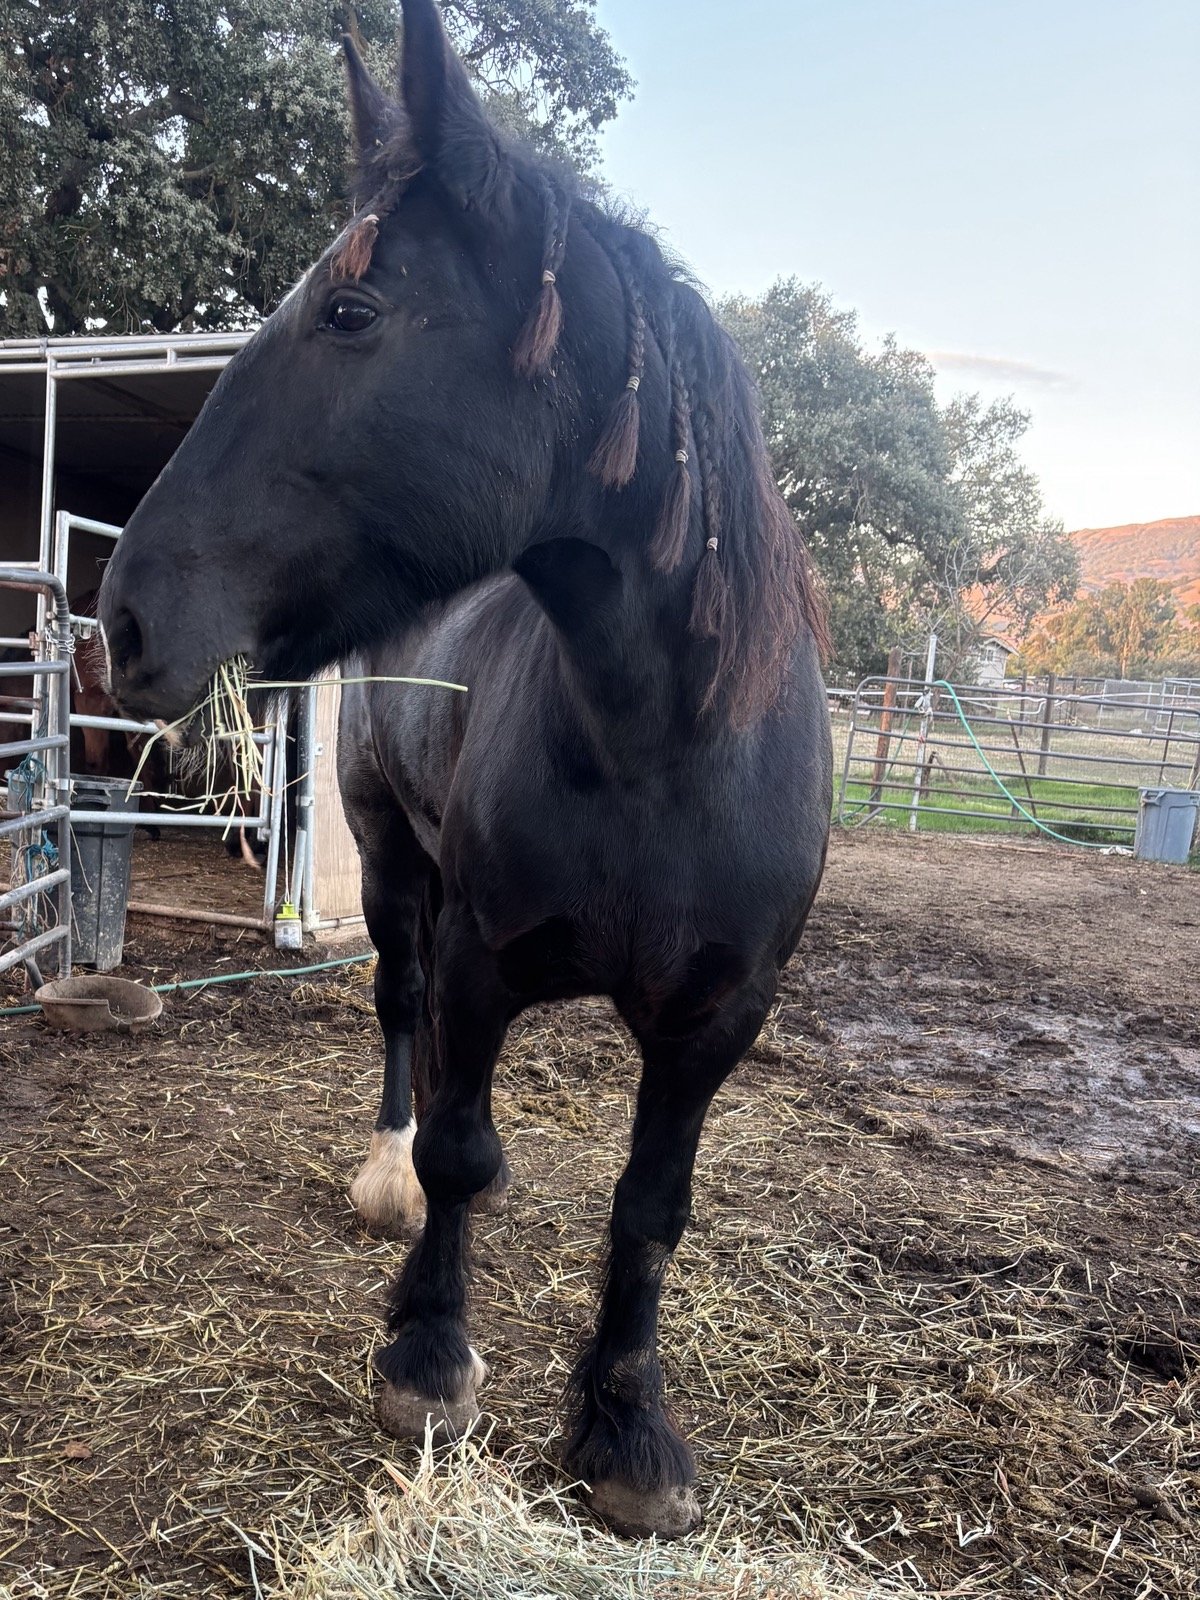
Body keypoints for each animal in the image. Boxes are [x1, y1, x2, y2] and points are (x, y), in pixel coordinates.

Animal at [98, 0, 833, 1539]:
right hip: (391, 865)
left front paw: (628, 1429)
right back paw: (381, 1166)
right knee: (400, 1017)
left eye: (352, 313)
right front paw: (428, 1356)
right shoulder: (488, 962)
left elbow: (650, 1206)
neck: (657, 752)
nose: (122, 618)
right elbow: (461, 1152)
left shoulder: (716, 1021)